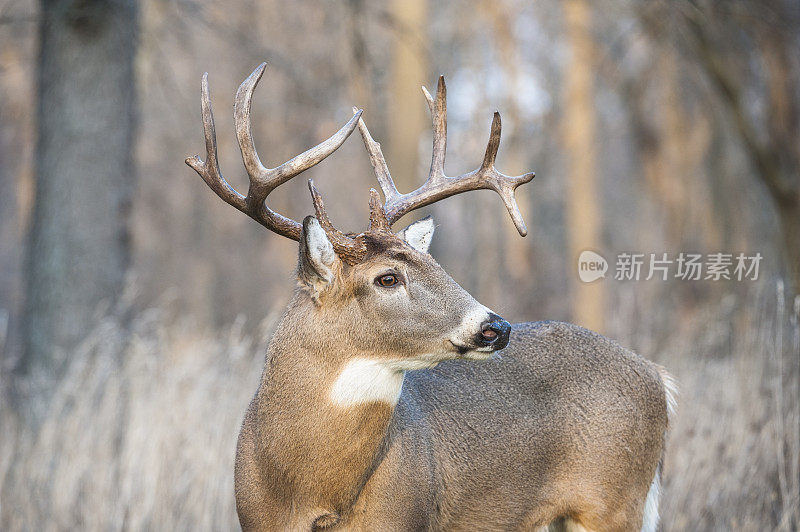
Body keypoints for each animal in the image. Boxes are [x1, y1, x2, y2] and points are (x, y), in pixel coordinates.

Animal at [186, 63, 676, 532]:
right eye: (387, 278)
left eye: (435, 264)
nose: (496, 327)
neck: (309, 496)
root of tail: (657, 377)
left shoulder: (404, 516)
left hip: (615, 502)